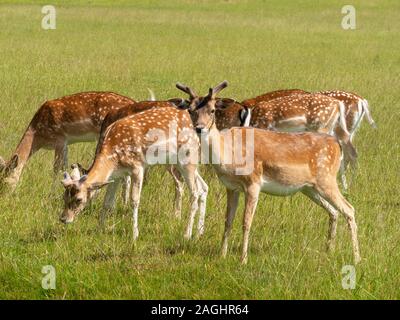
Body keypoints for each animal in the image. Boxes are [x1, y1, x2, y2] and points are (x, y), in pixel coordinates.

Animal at [0, 92, 136, 192]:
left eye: (5, 181)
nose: (5, 195)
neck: (38, 135)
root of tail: (133, 102)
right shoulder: (66, 144)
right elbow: (65, 166)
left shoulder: (59, 138)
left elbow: (57, 168)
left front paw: (52, 194)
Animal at [61, 104, 209, 241]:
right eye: (64, 196)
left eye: (79, 199)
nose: (63, 218)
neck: (112, 157)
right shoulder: (117, 175)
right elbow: (107, 202)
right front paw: (99, 229)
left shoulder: (137, 167)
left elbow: (134, 200)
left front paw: (134, 235)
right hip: (184, 163)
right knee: (204, 187)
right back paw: (199, 232)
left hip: (187, 157)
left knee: (194, 193)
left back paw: (187, 234)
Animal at [175, 80, 360, 264]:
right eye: (190, 110)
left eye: (212, 110)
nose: (199, 128)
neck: (228, 154)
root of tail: (337, 145)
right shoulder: (231, 187)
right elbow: (228, 220)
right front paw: (222, 254)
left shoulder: (253, 182)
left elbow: (246, 222)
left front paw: (243, 258)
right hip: (309, 188)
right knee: (334, 211)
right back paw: (329, 250)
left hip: (326, 179)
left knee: (349, 209)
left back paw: (356, 257)